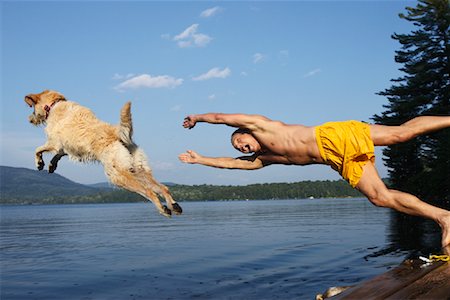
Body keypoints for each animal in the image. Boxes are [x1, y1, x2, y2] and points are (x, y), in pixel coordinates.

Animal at [24, 90, 181, 217]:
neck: (54, 105)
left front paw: (39, 163)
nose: (29, 120)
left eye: (32, 108)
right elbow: (57, 155)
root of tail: (115, 132)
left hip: (117, 175)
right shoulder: (65, 147)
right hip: (138, 169)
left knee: (149, 191)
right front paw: (51, 165)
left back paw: (163, 209)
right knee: (163, 187)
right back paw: (174, 206)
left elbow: (38, 149)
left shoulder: (54, 143)